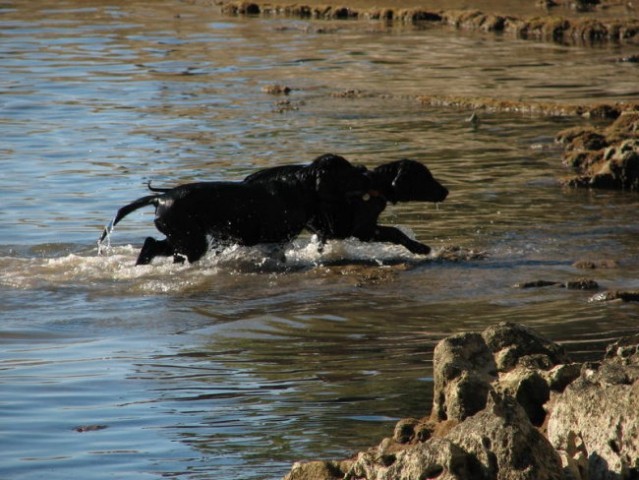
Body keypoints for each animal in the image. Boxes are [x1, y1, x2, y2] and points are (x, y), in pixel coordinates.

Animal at [99, 154, 370, 264]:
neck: (301, 188)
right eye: (347, 171)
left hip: (182, 237)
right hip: (190, 240)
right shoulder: (275, 237)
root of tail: (160, 198)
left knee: (151, 244)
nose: (366, 169)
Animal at [245, 158, 450, 256]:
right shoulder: (361, 230)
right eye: (425, 177)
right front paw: (419, 248)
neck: (372, 186)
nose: (446, 191)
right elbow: (395, 232)